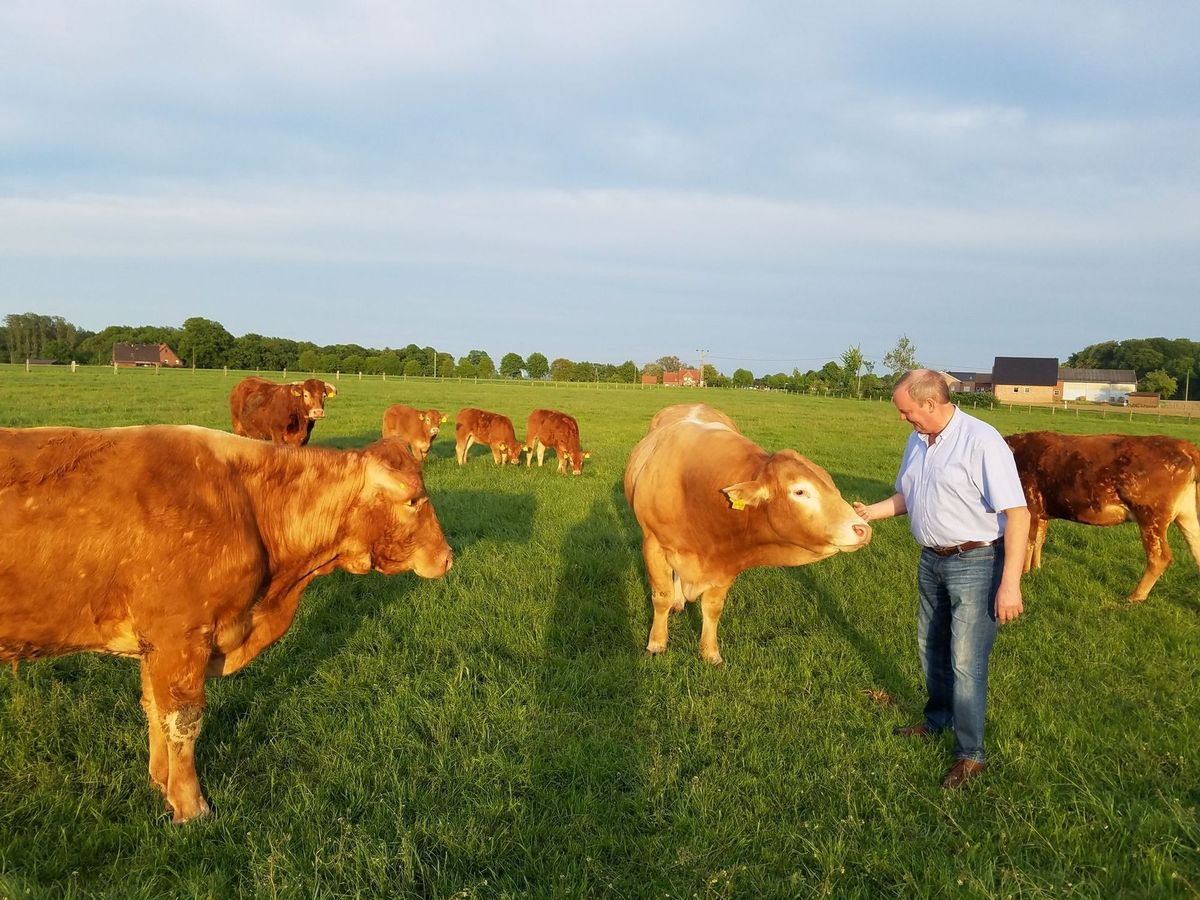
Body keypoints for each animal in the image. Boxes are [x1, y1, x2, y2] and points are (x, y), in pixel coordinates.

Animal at [0, 427, 451, 825]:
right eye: (413, 500)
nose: (447, 557)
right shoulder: (179, 636)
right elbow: (182, 723)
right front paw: (190, 806)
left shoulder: (154, 643)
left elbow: (153, 708)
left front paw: (160, 781)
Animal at [624, 405, 868, 667]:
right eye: (800, 491)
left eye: (834, 487)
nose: (863, 528)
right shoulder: (653, 545)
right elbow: (662, 596)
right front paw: (656, 643)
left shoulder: (727, 562)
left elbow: (712, 608)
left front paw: (710, 652)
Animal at [1003, 434, 1200, 602]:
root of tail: (1183, 445)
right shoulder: (1042, 512)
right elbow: (1039, 540)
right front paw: (1036, 569)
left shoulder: (1030, 506)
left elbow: (1027, 542)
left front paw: (1023, 574)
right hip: (1186, 514)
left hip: (1150, 516)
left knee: (1159, 556)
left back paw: (1135, 596)